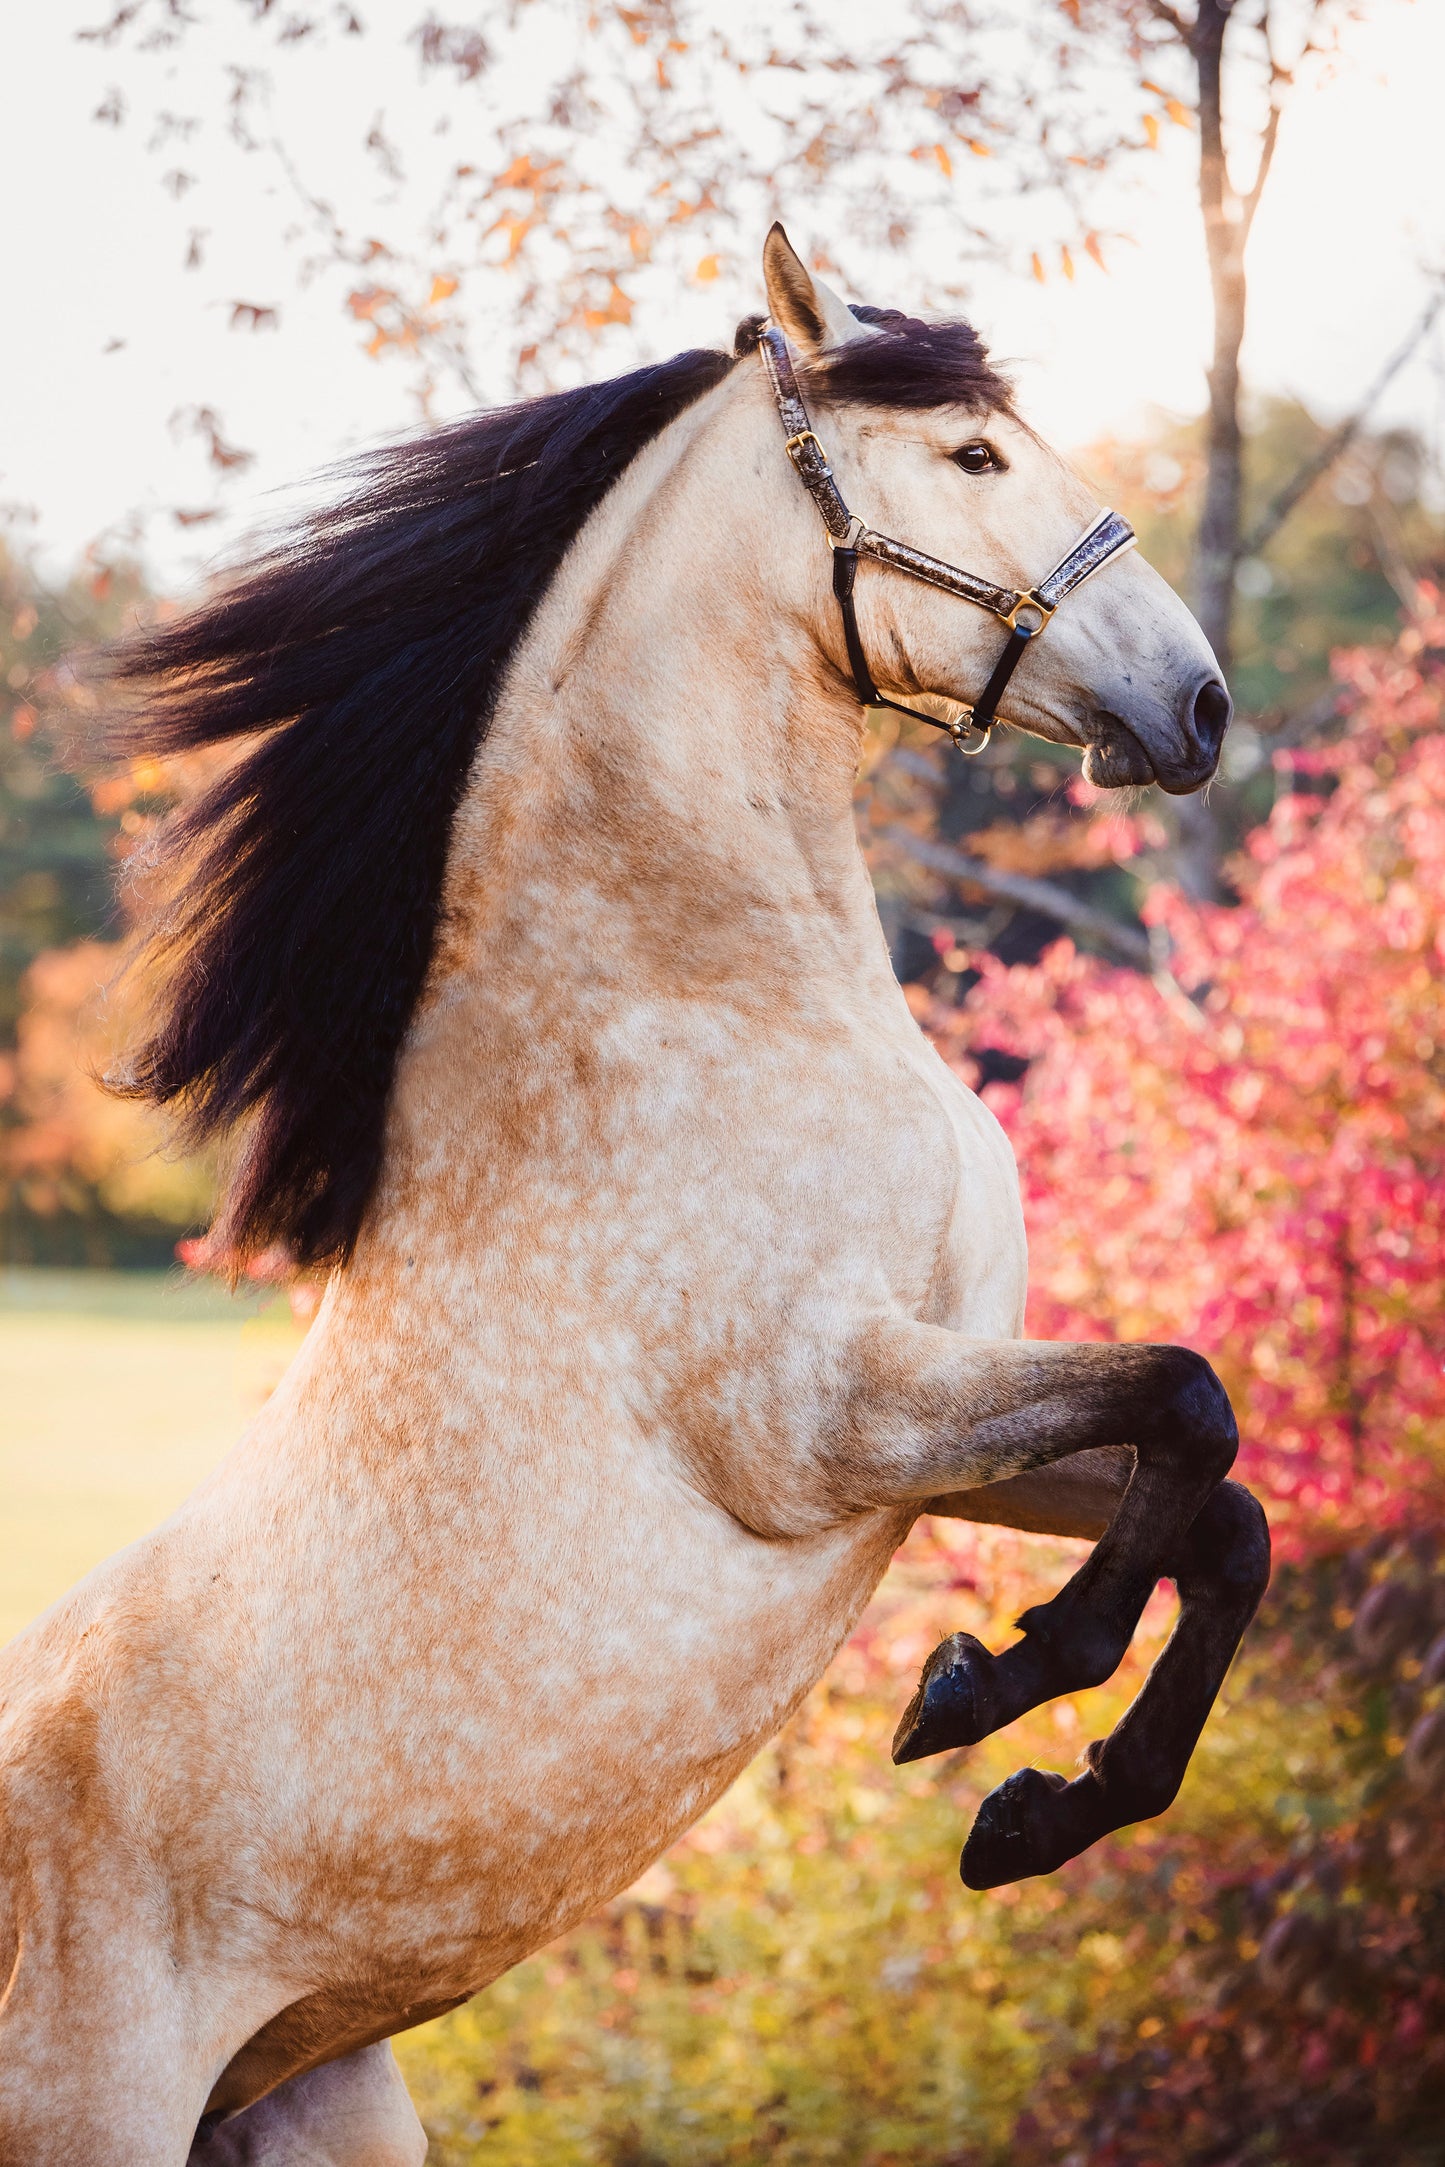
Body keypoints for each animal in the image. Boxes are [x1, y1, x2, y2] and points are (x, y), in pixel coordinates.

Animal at [0, 228, 1265, 2158]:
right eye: (973, 454)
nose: (1196, 705)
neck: (694, 989)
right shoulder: (829, 1413)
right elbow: (1193, 1401)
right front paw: (986, 1686)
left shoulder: (937, 1428)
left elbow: (1225, 1509)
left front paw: (1034, 1800)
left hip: (312, 2110)